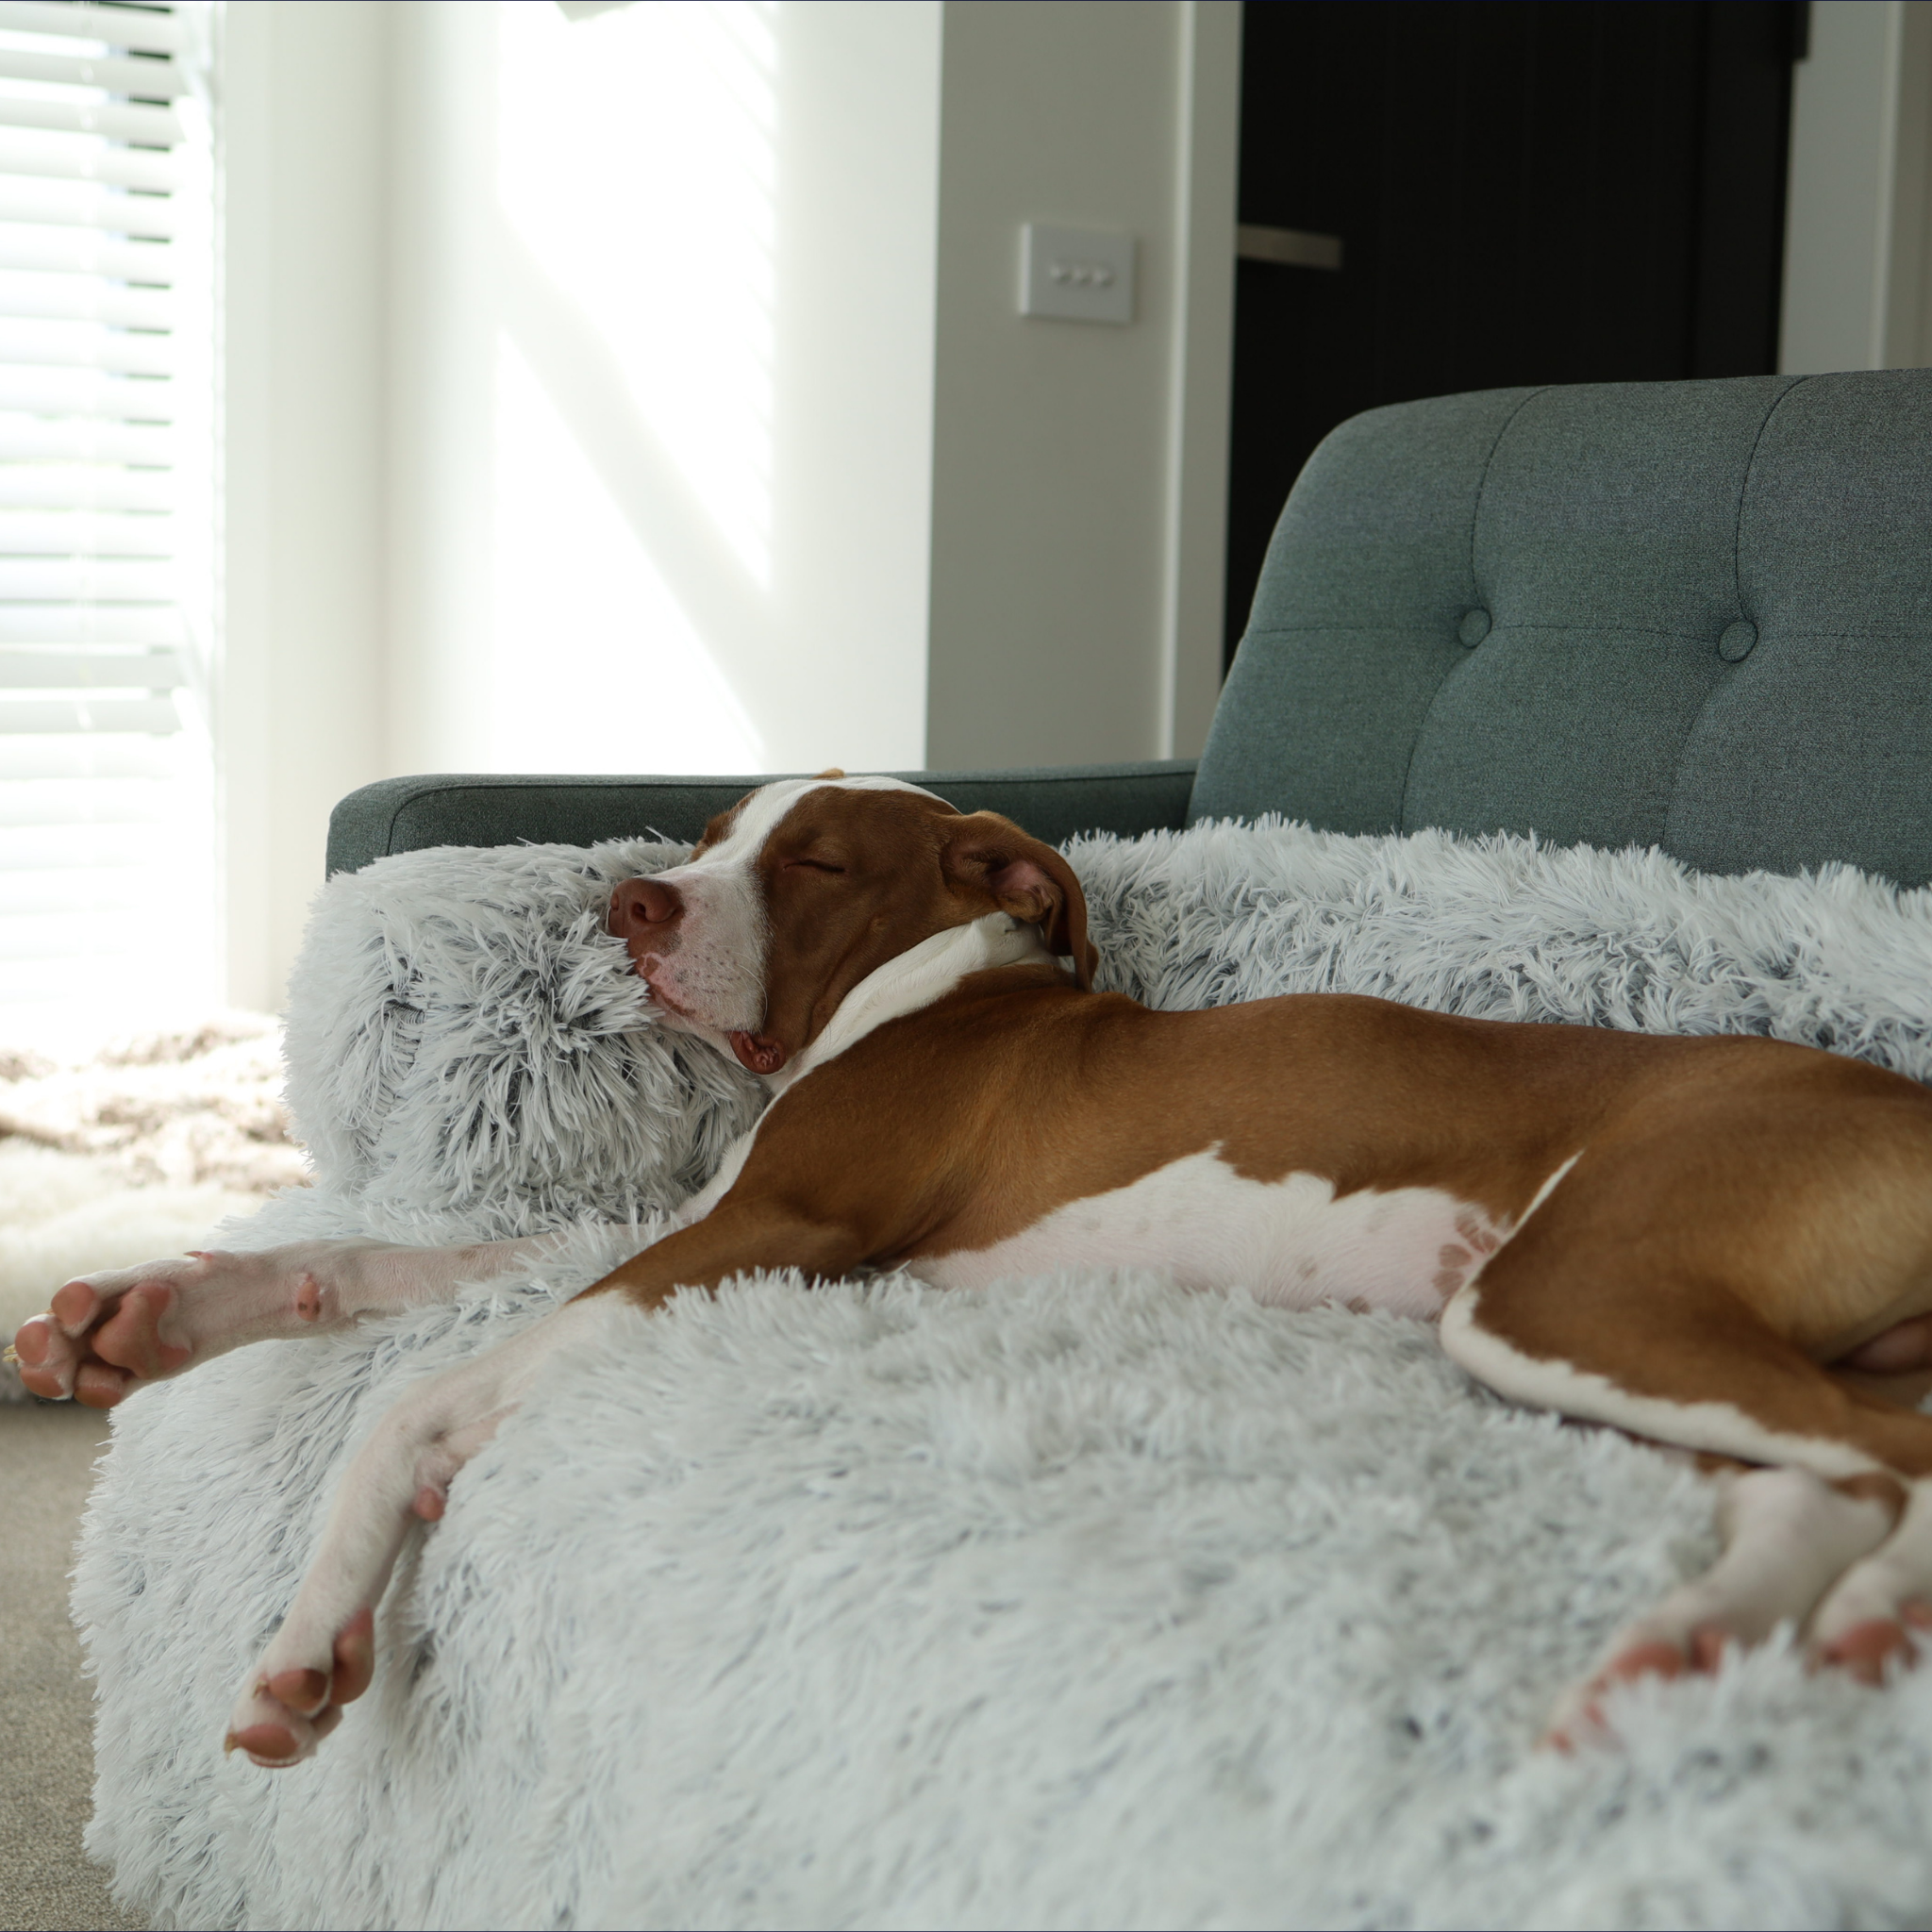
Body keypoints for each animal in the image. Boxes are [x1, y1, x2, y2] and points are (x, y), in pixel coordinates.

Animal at [11, 773, 1932, 1769]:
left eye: (810, 857)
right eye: (706, 833)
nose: (631, 904)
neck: (925, 991)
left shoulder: (773, 1236)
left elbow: (413, 1402)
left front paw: (310, 1635)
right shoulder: (691, 1229)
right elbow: (401, 1259)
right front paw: (151, 1314)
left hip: (1566, 1288)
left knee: (1889, 1461)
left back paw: (1865, 1622)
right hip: (1607, 1329)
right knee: (1824, 1475)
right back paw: (1688, 1648)